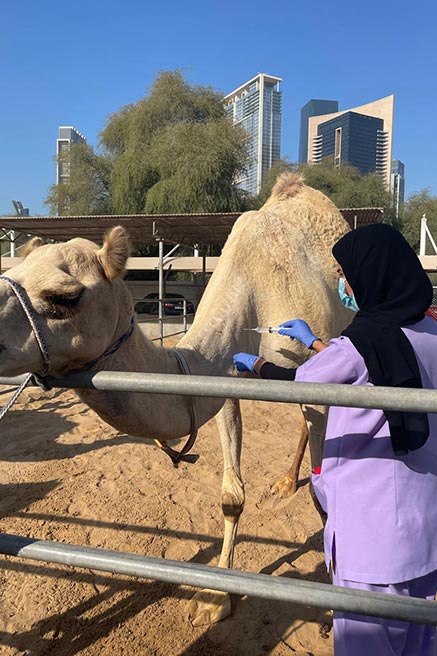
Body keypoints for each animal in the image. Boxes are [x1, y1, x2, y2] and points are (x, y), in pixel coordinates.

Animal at [0, 173, 350, 624]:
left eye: (65, 298)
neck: (257, 296)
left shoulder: (316, 380)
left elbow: (324, 499)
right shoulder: (225, 381)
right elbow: (231, 496)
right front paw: (217, 598)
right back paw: (286, 482)